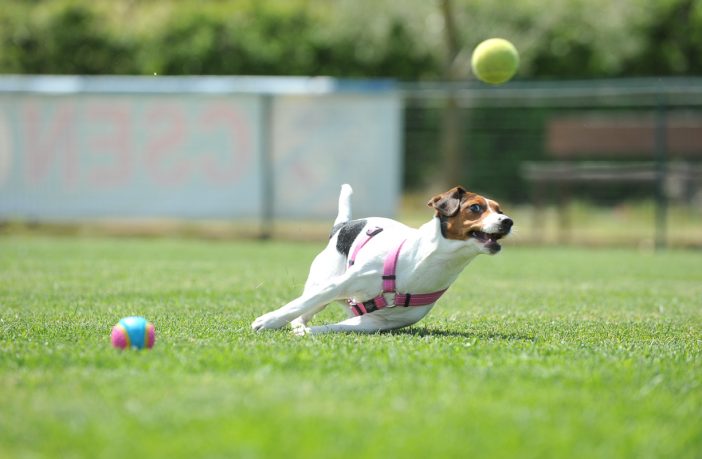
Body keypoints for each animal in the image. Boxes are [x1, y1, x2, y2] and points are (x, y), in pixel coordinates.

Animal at [250, 185, 516, 336]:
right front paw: (268, 321)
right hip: (323, 281)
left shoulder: (376, 322)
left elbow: (336, 327)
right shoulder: (340, 284)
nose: (508, 221)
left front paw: (309, 333)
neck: (426, 261)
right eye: (475, 208)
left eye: (499, 210)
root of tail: (343, 225)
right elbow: (298, 304)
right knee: (306, 306)